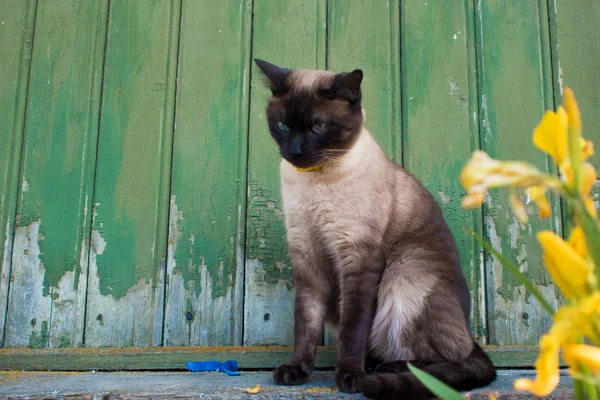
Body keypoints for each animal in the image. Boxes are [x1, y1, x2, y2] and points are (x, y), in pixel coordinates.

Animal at [255, 57, 494, 398]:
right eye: (283, 126)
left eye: (318, 127)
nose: (295, 152)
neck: (315, 181)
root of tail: (470, 332)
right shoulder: (308, 259)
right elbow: (305, 325)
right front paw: (296, 370)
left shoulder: (358, 257)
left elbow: (354, 328)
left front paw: (350, 377)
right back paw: (375, 364)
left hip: (403, 273)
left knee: (450, 358)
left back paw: (386, 370)